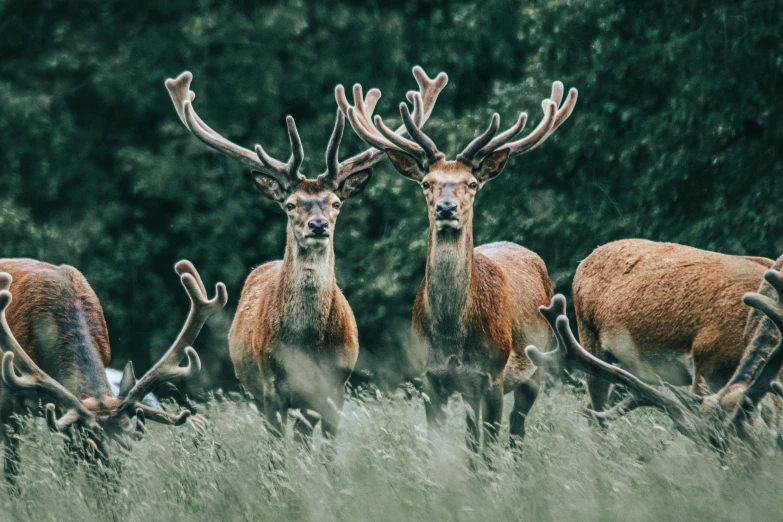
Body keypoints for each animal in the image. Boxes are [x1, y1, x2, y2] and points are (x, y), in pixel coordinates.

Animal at [0, 258, 227, 482]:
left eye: (129, 442)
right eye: (91, 443)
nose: (113, 479)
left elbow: (67, 463)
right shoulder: (9, 404)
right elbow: (12, 469)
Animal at [165, 64, 448, 438]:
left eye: (336, 202)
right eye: (290, 204)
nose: (317, 226)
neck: (306, 346)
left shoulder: (336, 387)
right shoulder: (271, 388)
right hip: (254, 390)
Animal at [340, 75, 580, 448]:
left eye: (472, 183)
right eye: (427, 183)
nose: (446, 208)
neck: (452, 334)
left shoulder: (493, 375)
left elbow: (490, 448)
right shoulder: (431, 378)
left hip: (537, 363)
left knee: (516, 430)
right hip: (472, 391)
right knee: (473, 435)